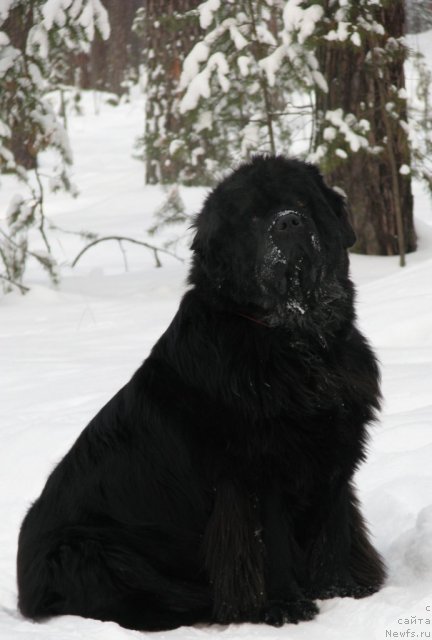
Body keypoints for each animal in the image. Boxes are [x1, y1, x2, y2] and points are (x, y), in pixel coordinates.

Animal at [18, 156, 386, 632]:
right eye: (253, 217)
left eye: (303, 202)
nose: (289, 221)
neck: (296, 342)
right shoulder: (254, 475)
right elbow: (270, 546)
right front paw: (284, 607)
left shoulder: (335, 456)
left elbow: (335, 530)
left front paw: (345, 591)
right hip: (89, 551)